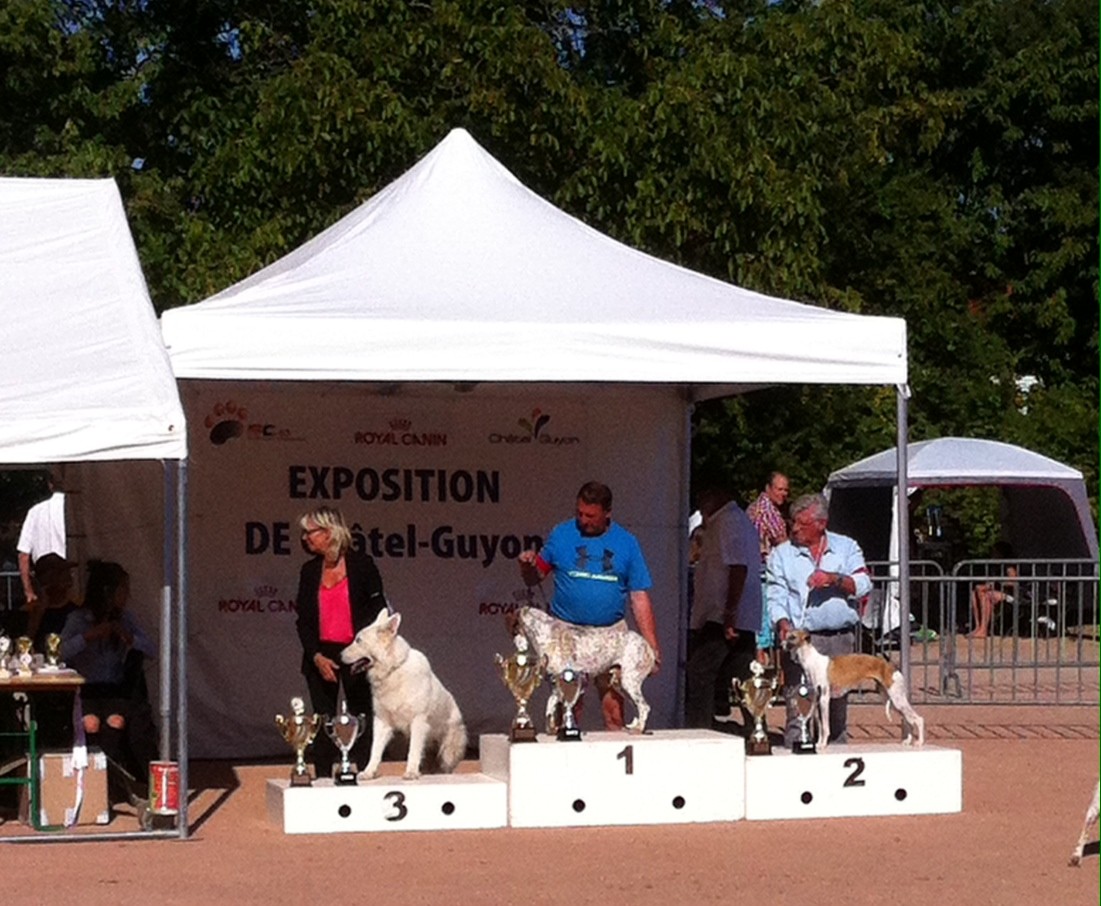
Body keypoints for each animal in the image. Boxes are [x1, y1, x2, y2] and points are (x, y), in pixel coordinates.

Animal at [341, 607, 466, 779]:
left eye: (358, 640)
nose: (339, 655)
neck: (393, 670)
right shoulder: (382, 722)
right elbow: (375, 751)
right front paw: (368, 772)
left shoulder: (418, 722)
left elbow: (413, 752)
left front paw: (411, 772)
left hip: (447, 751)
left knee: (445, 766)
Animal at [513, 607, 656, 735]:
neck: (545, 633)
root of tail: (648, 647)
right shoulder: (556, 685)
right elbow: (550, 706)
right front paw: (552, 730)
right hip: (620, 684)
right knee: (639, 707)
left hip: (629, 682)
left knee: (644, 707)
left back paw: (638, 729)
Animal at [779, 629, 924, 752]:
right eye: (786, 635)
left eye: (792, 637)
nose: (781, 645)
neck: (812, 661)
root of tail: (892, 667)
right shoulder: (817, 700)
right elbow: (820, 727)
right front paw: (819, 744)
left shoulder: (824, 699)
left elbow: (825, 727)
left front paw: (823, 745)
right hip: (891, 699)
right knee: (908, 720)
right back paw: (908, 741)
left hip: (897, 699)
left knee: (918, 719)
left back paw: (920, 743)